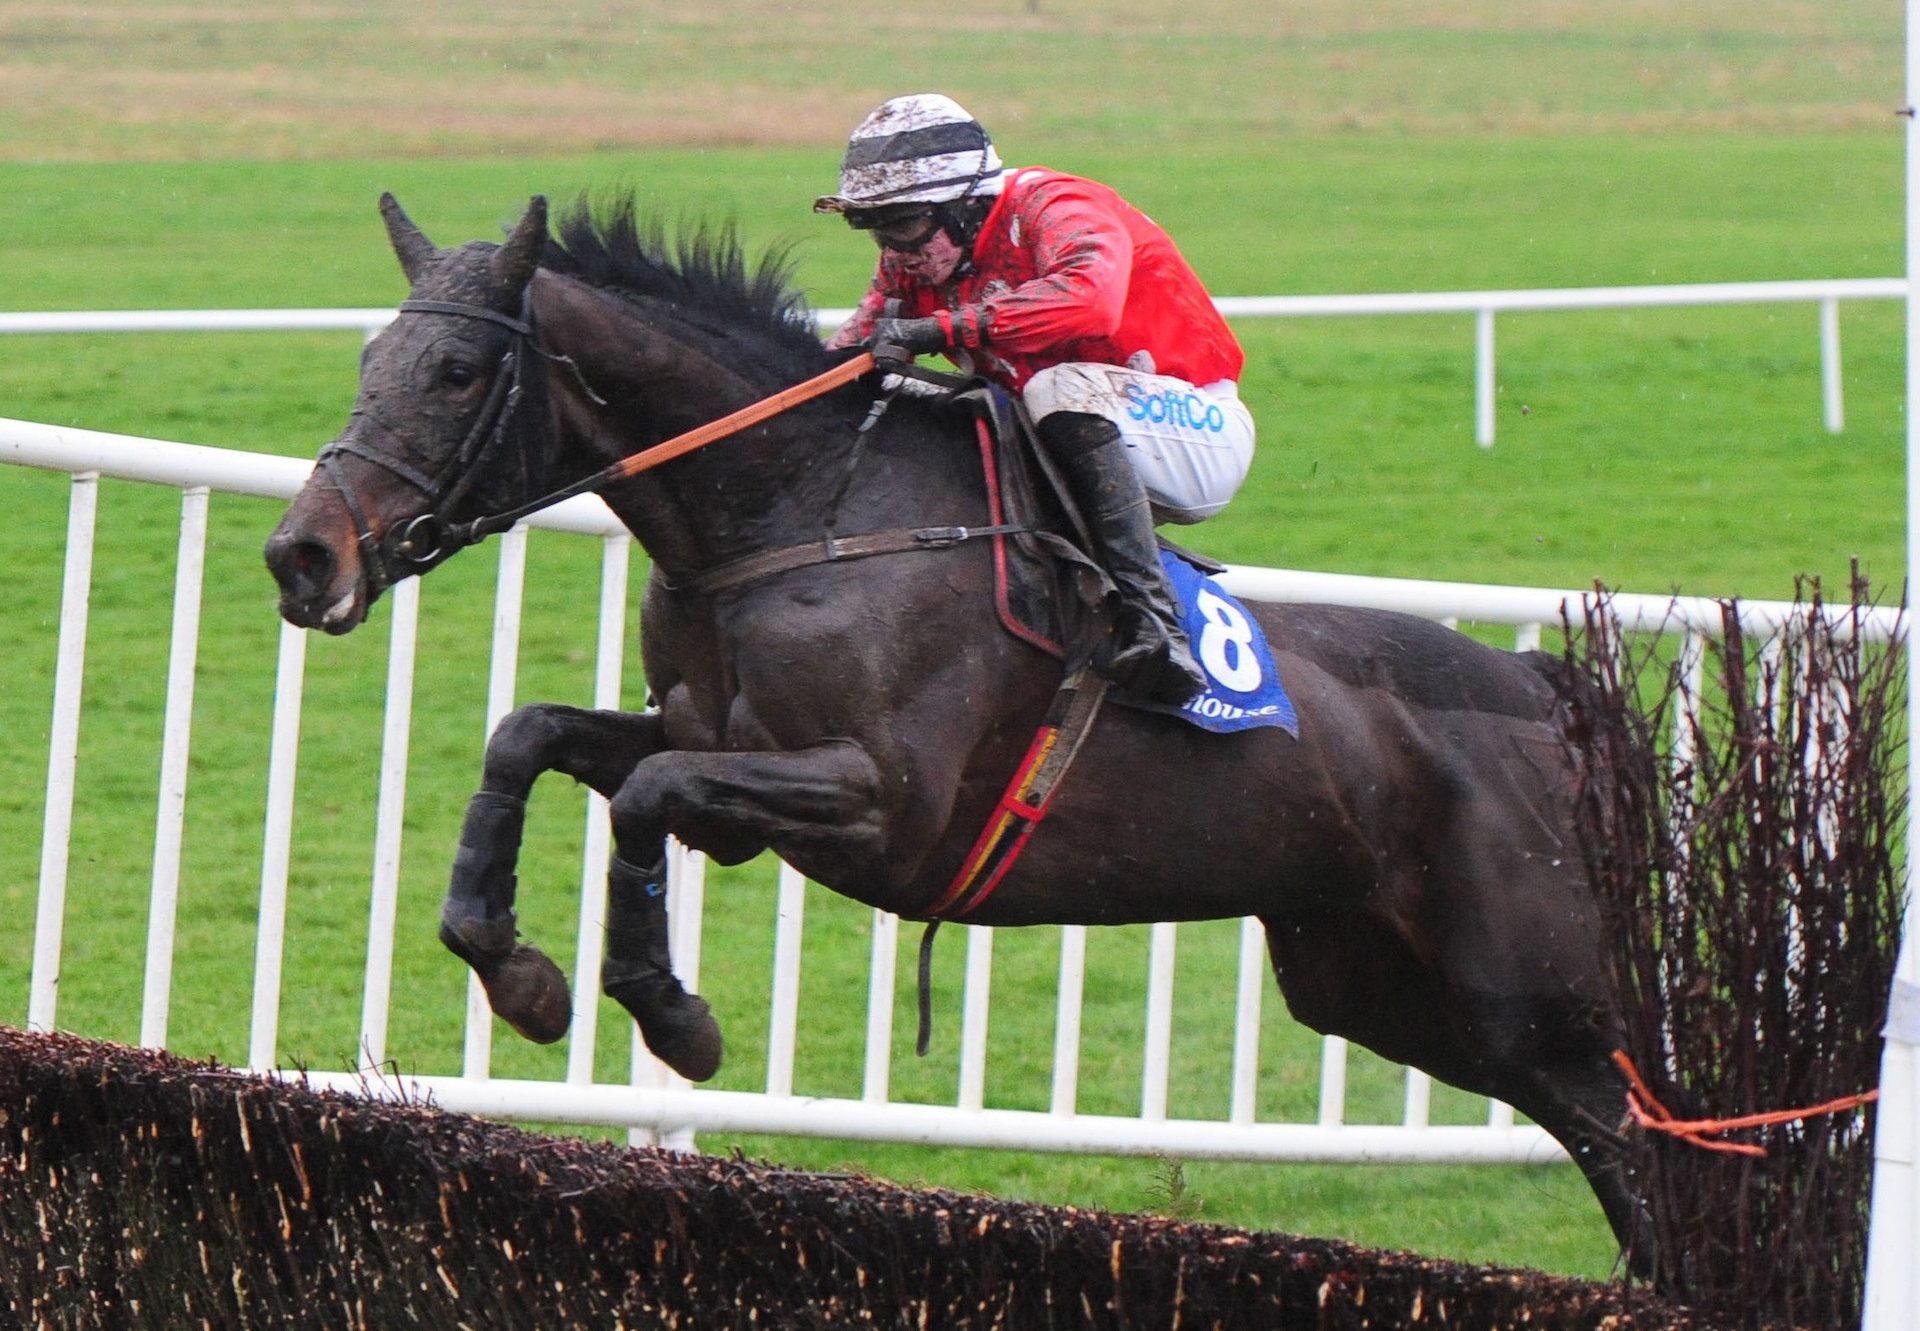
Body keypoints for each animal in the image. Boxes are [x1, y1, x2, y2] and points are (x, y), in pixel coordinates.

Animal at [266, 192, 1651, 1259]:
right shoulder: (716, 748)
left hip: (1539, 998)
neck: (802, 513)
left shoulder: (883, 804)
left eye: (454, 372)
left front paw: (671, 1012)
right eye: (368, 363)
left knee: (1653, 1139)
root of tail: (1547, 695)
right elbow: (532, 732)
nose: (302, 553)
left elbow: (652, 795)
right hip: (1385, 987)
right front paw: (516, 966)